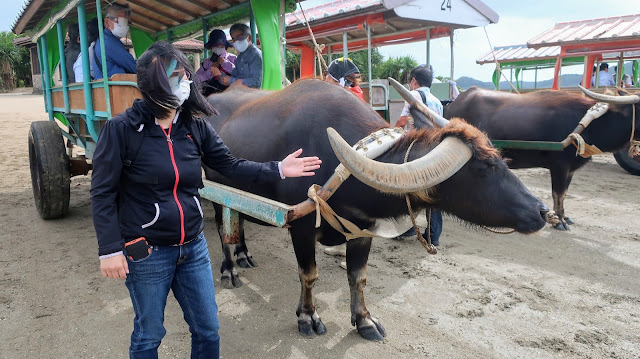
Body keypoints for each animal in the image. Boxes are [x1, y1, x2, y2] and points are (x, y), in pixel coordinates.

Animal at [202, 80, 548, 342]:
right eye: (484, 167)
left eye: (500, 158)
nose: (542, 211)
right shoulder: (300, 226)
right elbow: (309, 274)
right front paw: (308, 317)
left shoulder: (362, 230)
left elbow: (358, 278)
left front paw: (365, 321)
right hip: (214, 192)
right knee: (222, 228)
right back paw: (229, 269)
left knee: (238, 221)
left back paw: (244, 255)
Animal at [440, 86, 640, 229]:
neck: (588, 125)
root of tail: (453, 104)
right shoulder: (559, 166)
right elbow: (557, 193)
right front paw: (559, 221)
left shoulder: (570, 170)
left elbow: (564, 193)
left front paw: (565, 217)